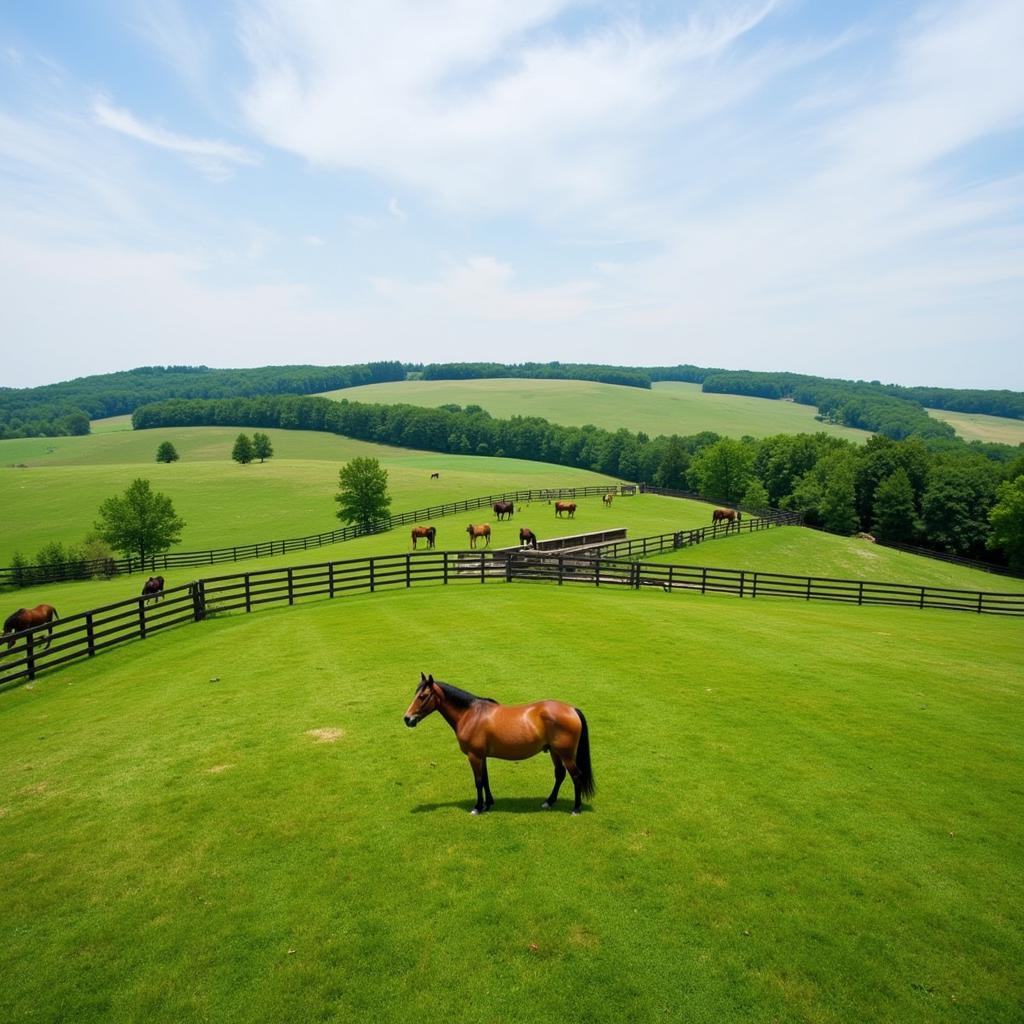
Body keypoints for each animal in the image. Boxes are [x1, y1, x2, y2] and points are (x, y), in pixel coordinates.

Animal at [399, 671, 593, 815]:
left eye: (423, 696)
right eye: (416, 694)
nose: (407, 719)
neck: (471, 714)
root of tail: (571, 709)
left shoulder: (474, 756)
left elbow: (478, 781)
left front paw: (477, 807)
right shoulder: (481, 756)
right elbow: (485, 779)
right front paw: (488, 803)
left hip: (566, 755)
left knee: (576, 776)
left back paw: (576, 808)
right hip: (554, 752)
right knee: (560, 774)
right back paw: (549, 802)